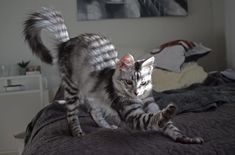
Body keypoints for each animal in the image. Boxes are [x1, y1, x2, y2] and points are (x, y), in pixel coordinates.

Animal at [23, 6, 204, 143]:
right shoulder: (132, 115)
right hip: (72, 89)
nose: (136, 93)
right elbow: (153, 118)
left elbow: (169, 126)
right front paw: (168, 112)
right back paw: (78, 133)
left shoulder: (150, 102)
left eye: (143, 83)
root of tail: (67, 42)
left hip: (91, 92)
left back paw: (107, 126)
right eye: (129, 82)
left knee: (93, 111)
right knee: (72, 115)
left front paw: (186, 138)